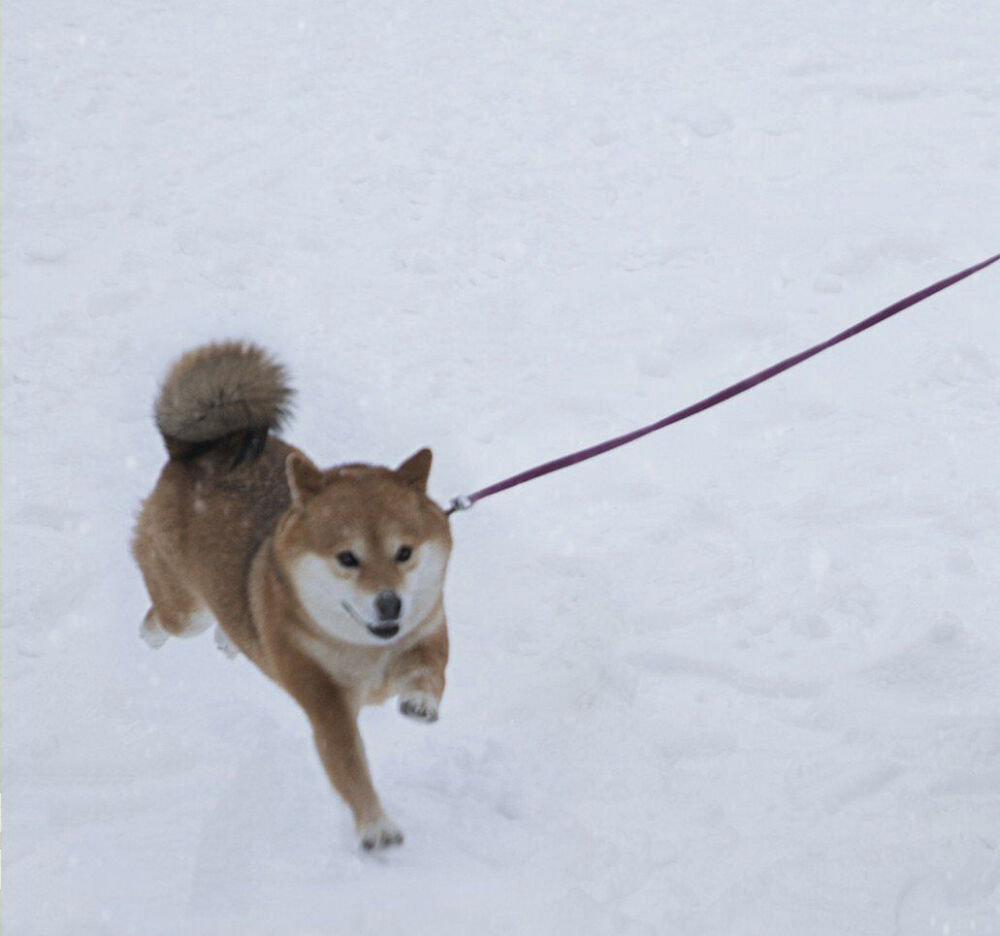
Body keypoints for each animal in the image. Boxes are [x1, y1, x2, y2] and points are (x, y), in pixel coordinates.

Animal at [131, 342, 452, 848]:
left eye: (404, 552)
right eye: (347, 558)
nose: (390, 603)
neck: (364, 649)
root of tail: (196, 452)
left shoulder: (429, 629)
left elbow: (431, 671)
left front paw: (420, 702)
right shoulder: (324, 701)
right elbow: (349, 766)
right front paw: (375, 826)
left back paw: (230, 638)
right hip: (185, 609)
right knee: (166, 612)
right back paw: (152, 634)